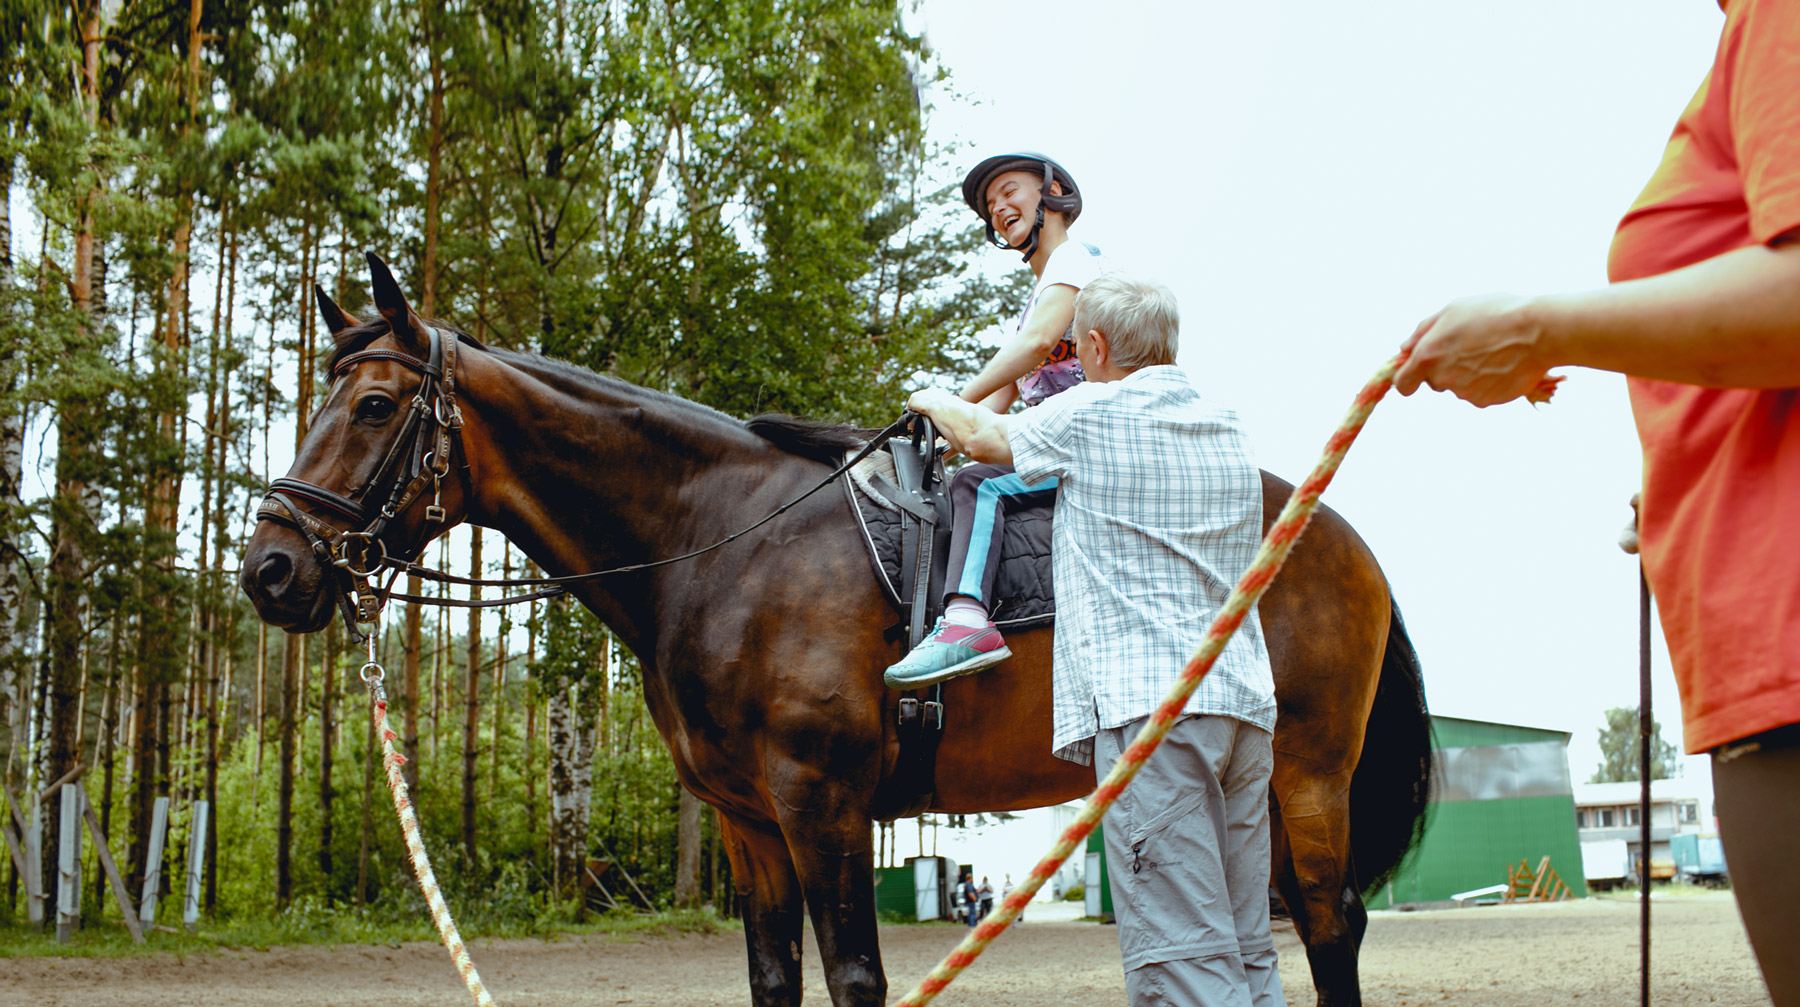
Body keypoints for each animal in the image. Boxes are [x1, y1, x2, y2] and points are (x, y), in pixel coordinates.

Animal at [243, 257, 1418, 1007]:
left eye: (377, 406)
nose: (271, 567)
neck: (720, 541)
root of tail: (1339, 531)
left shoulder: (824, 803)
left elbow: (856, 975)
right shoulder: (749, 821)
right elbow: (774, 976)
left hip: (1306, 771)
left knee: (1328, 924)